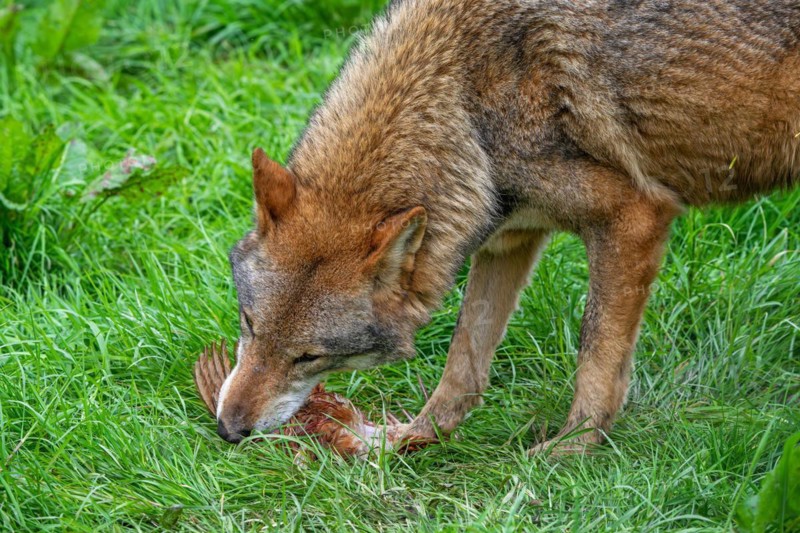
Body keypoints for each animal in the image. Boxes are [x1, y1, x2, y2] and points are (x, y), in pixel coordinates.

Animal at [214, 0, 800, 453]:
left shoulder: (634, 217)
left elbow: (596, 357)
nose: (227, 429)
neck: (464, 102)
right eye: (249, 324)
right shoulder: (508, 240)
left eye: (309, 356)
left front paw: (568, 455)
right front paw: (411, 439)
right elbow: (464, 362)